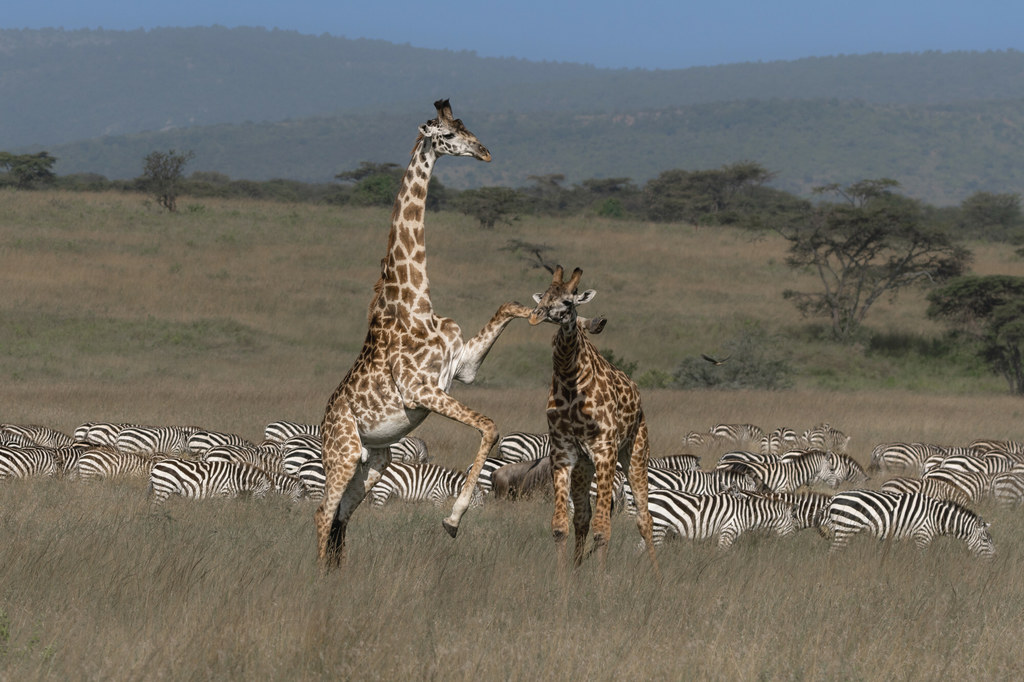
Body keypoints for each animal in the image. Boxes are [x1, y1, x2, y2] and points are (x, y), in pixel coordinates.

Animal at [148, 456, 276, 503]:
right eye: (266, 490)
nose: (261, 505)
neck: (237, 478)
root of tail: (156, 465)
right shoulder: (226, 493)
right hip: (164, 488)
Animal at [315, 98, 532, 565]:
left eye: (466, 125)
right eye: (447, 135)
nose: (485, 152)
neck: (416, 302)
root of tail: (323, 423)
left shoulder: (461, 369)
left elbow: (509, 305)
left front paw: (555, 307)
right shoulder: (421, 390)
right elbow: (490, 425)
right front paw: (453, 520)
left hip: (376, 458)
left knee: (341, 516)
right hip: (343, 452)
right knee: (323, 512)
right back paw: (317, 577)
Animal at [528, 266, 655, 573]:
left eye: (568, 301)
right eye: (544, 295)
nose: (536, 315)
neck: (570, 381)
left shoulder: (604, 450)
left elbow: (602, 529)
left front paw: (600, 582)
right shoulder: (563, 452)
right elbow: (560, 526)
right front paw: (565, 579)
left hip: (635, 452)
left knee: (644, 518)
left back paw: (658, 576)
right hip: (585, 466)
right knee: (582, 516)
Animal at [823, 489, 991, 557]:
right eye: (985, 540)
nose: (992, 561)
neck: (936, 517)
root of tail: (835, 497)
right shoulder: (923, 536)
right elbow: (922, 560)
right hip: (846, 527)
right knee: (832, 553)